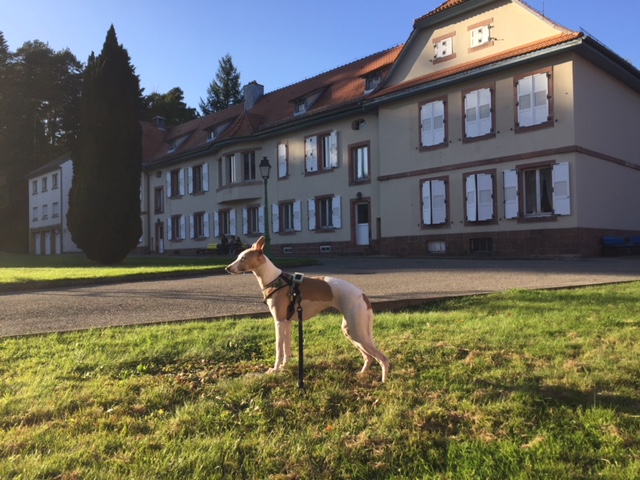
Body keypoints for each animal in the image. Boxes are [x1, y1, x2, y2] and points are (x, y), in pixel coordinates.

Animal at [228, 236, 392, 382]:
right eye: (238, 257)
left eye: (243, 258)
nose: (227, 268)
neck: (274, 279)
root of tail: (363, 296)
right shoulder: (287, 322)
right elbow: (286, 350)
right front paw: (284, 367)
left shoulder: (279, 321)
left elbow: (279, 350)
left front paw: (274, 370)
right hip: (350, 331)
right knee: (369, 356)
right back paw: (362, 373)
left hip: (358, 332)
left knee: (382, 358)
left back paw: (383, 381)